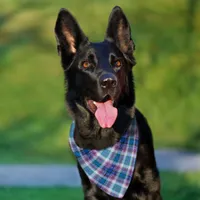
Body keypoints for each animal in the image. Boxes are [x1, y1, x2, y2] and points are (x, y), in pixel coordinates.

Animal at [54, 5, 162, 199]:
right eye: (86, 65)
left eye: (118, 63)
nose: (109, 82)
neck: (103, 136)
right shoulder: (91, 191)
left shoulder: (150, 186)